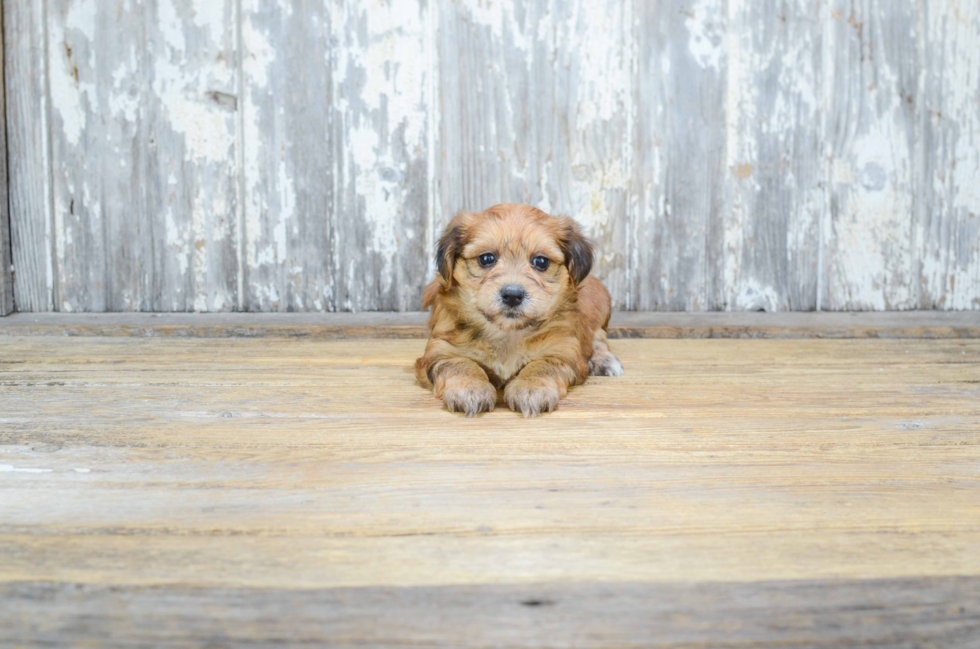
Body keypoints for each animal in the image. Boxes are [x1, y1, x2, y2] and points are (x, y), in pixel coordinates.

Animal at [414, 202, 620, 418]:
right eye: (486, 258)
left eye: (541, 262)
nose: (512, 295)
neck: (507, 332)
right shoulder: (441, 349)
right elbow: (459, 363)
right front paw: (470, 389)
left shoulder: (564, 350)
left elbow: (543, 365)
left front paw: (531, 388)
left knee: (599, 337)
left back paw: (604, 360)